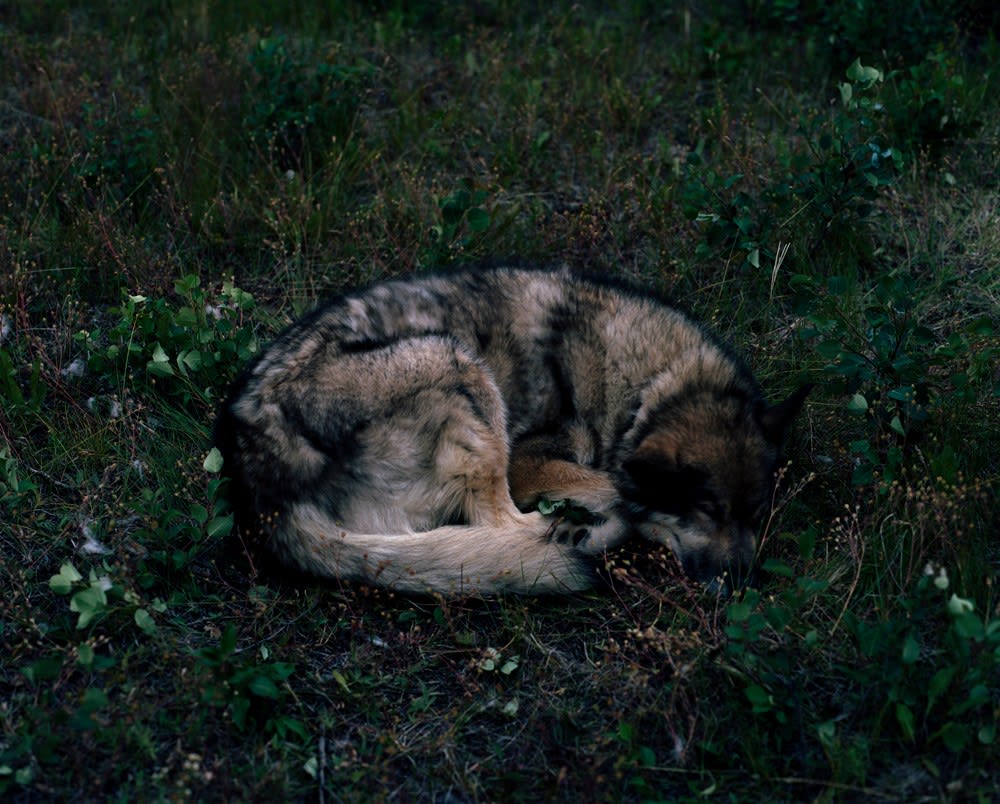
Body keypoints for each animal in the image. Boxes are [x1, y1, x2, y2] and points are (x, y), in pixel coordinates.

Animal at [215, 266, 809, 596]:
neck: (643, 385)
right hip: (457, 363)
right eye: (707, 511)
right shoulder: (528, 463)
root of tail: (262, 496)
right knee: (502, 525)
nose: (742, 586)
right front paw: (610, 518)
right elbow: (617, 492)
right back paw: (571, 537)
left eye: (756, 513)